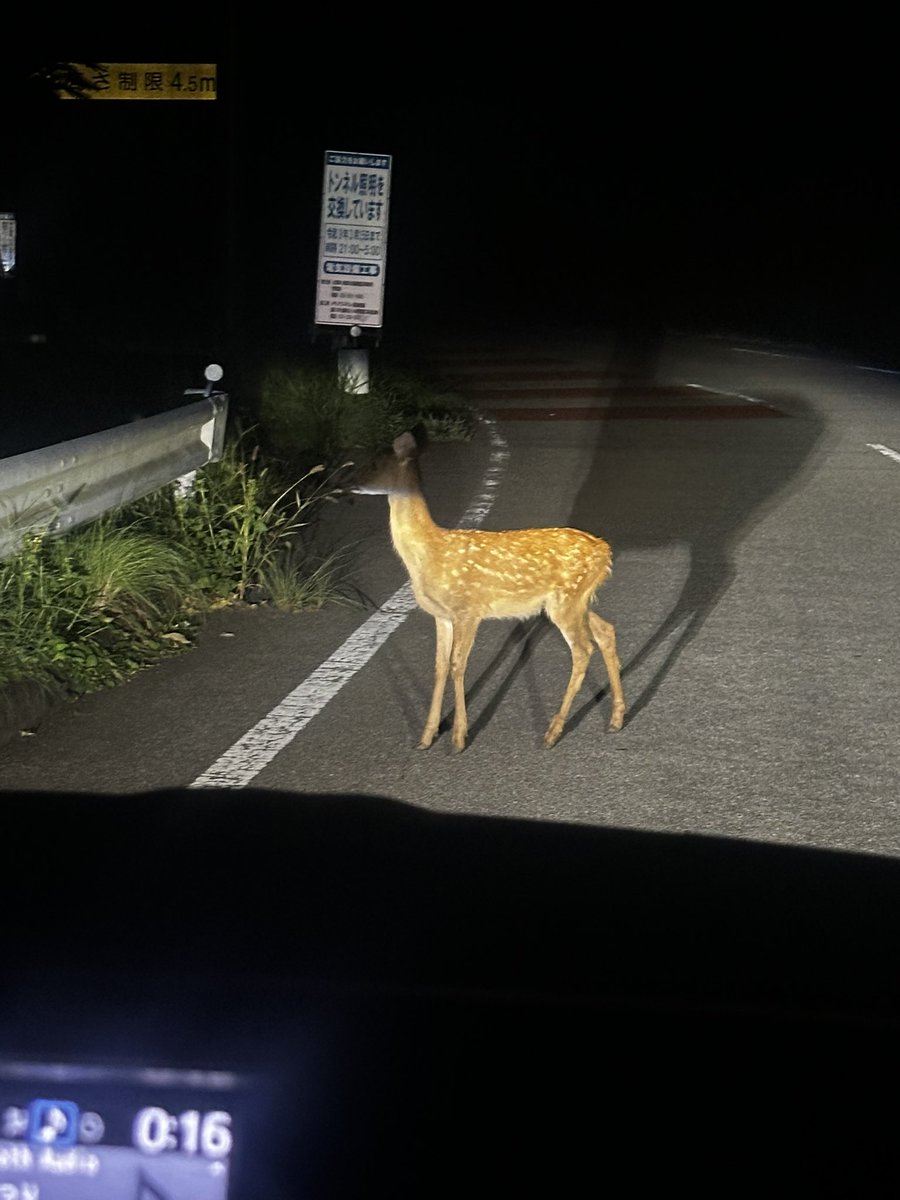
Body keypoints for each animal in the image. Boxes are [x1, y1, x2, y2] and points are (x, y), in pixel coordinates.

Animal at [351, 431, 626, 752]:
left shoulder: (468, 609)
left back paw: (553, 731)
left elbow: (457, 665)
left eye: (374, 463)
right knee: (606, 631)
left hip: (566, 601)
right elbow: (439, 667)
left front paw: (458, 737)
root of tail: (604, 551)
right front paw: (427, 736)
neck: (428, 552)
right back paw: (617, 718)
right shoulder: (442, 615)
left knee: (583, 650)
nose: (351, 482)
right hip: (575, 601)